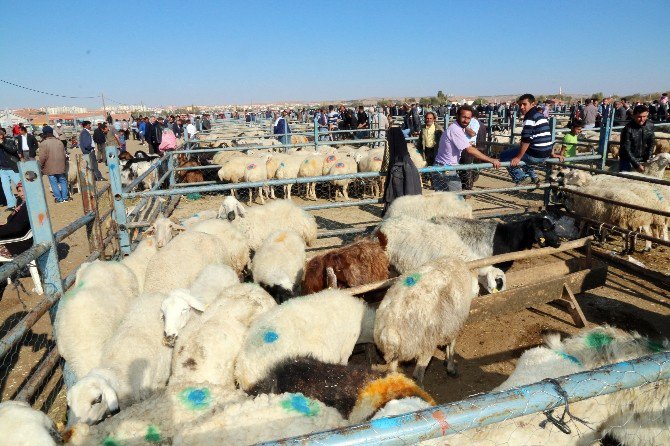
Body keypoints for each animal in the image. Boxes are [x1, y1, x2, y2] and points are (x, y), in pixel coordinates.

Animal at [372, 256, 484, 386]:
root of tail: (390, 329)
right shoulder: (455, 324)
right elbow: (451, 346)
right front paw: (450, 367)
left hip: (397, 354)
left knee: (392, 372)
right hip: (426, 344)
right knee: (418, 373)